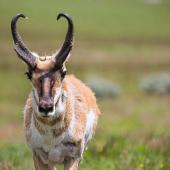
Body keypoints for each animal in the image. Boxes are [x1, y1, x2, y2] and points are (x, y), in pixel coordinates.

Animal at [10, 12, 100, 169]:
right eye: (28, 74)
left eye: (63, 72)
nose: (46, 107)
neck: (51, 136)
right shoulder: (39, 157)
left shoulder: (73, 158)